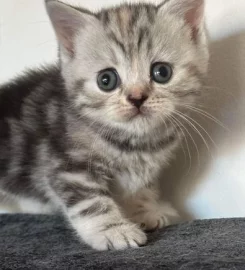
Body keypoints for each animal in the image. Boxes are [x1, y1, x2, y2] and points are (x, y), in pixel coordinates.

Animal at [0, 0, 209, 250]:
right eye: (106, 80)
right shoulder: (67, 164)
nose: (137, 98)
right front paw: (113, 229)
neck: (136, 143)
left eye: (162, 72)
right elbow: (90, 201)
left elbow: (141, 187)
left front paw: (145, 210)